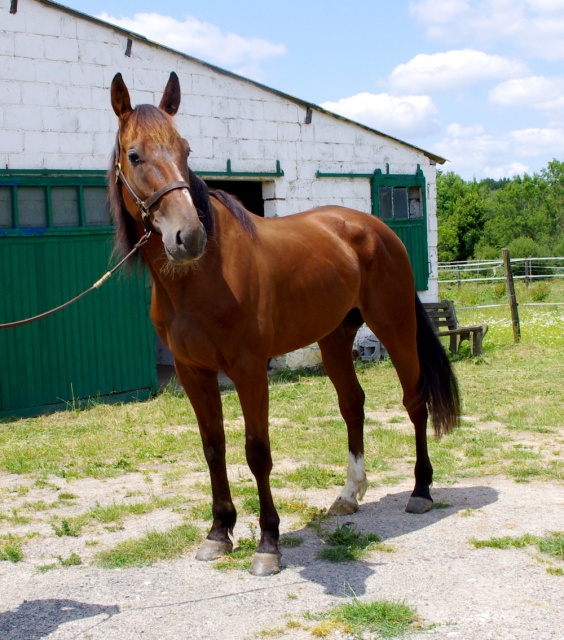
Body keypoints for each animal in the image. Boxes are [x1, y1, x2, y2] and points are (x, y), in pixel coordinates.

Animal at [109, 72, 458, 576]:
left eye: (185, 150)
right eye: (134, 155)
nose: (188, 236)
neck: (202, 276)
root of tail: (378, 230)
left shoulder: (250, 369)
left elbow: (257, 451)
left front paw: (267, 544)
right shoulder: (193, 371)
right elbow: (213, 447)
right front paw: (219, 533)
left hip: (394, 328)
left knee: (414, 402)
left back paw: (421, 491)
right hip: (334, 339)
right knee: (352, 405)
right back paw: (350, 494)